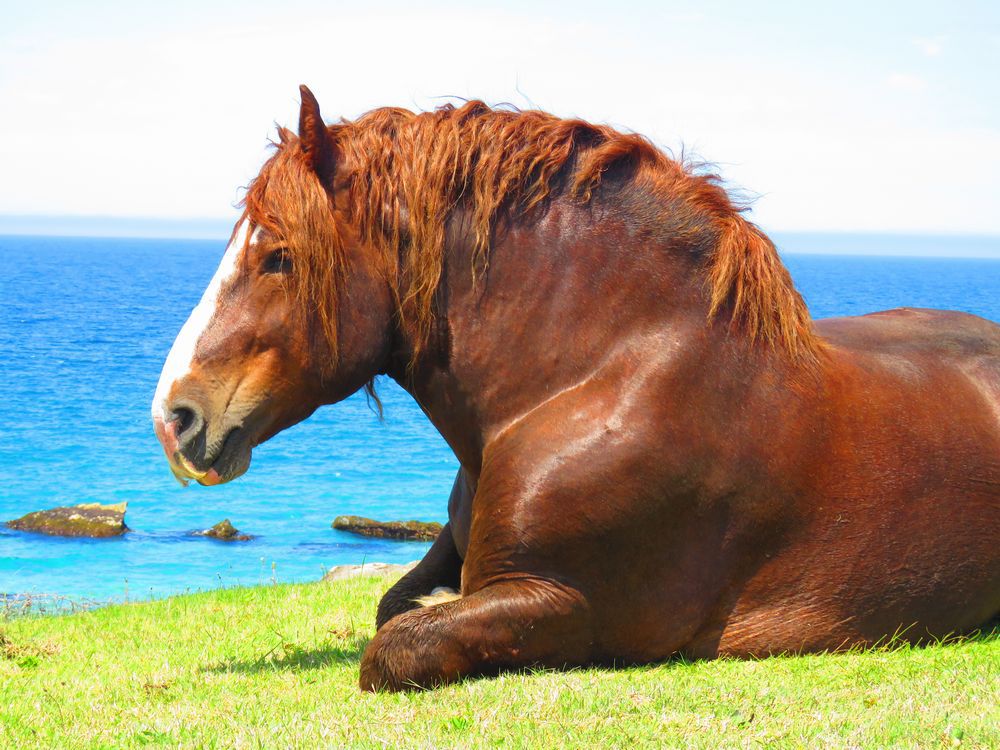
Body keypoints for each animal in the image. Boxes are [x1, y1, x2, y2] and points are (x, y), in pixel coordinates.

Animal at [150, 85, 1000, 692]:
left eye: (279, 256)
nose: (174, 417)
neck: (601, 373)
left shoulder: (578, 610)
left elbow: (395, 643)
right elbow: (394, 605)